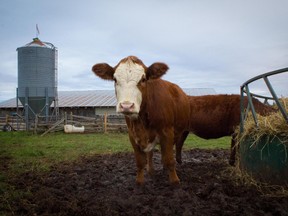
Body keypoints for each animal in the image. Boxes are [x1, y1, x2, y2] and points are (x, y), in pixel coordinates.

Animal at [91, 55, 189, 184]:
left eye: (143, 79)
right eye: (115, 79)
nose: (126, 106)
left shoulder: (167, 132)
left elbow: (169, 159)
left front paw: (175, 181)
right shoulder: (132, 135)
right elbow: (140, 162)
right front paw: (139, 182)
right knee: (150, 153)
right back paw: (151, 170)